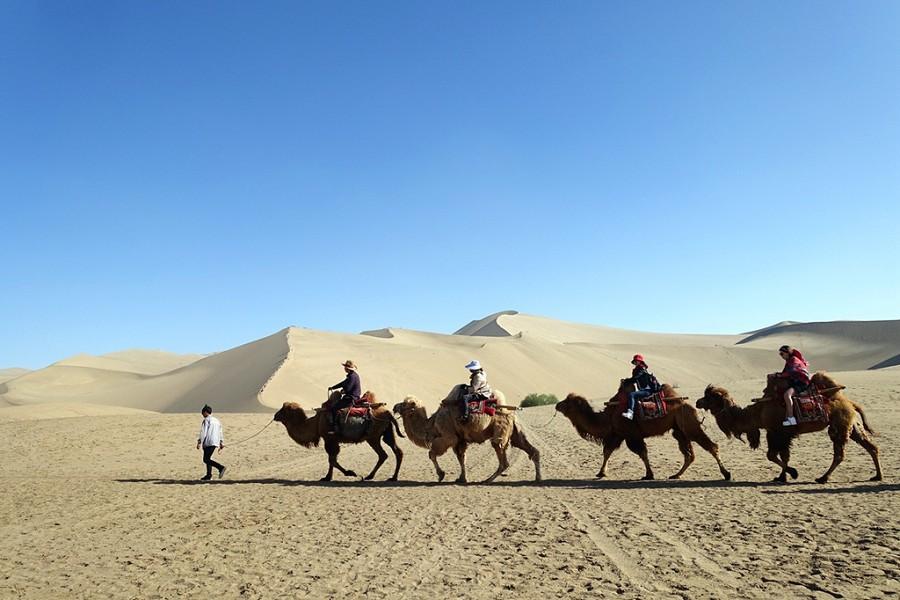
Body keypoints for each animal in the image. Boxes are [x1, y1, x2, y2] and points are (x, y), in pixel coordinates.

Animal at [270, 394, 404, 482]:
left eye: (284, 410)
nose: (275, 415)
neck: (316, 422)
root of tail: (388, 413)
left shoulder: (329, 439)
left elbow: (332, 460)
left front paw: (351, 473)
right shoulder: (332, 440)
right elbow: (331, 459)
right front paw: (327, 477)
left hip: (373, 437)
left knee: (383, 454)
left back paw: (372, 476)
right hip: (386, 433)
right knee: (396, 452)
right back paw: (390, 477)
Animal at [388, 386, 540, 486]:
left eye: (405, 404)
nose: (394, 406)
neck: (431, 424)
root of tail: (510, 412)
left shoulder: (447, 437)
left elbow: (431, 454)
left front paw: (441, 475)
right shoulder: (459, 440)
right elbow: (461, 458)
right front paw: (462, 478)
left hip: (500, 430)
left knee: (502, 456)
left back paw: (487, 480)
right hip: (513, 432)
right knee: (532, 450)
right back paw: (538, 478)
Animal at [556, 384, 732, 482]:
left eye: (567, 402)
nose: (557, 405)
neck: (608, 416)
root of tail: (688, 404)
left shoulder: (631, 435)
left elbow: (642, 453)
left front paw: (649, 474)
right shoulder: (617, 435)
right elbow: (607, 452)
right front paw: (601, 472)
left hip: (689, 425)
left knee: (711, 446)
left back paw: (726, 474)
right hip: (679, 429)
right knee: (689, 454)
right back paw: (676, 475)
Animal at [696, 370, 880, 482]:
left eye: (710, 396)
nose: (698, 402)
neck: (757, 413)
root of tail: (850, 403)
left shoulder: (778, 431)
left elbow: (772, 455)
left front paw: (793, 473)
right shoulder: (779, 433)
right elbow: (783, 456)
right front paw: (781, 477)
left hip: (838, 426)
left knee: (839, 454)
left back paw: (823, 478)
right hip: (852, 426)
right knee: (871, 447)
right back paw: (877, 476)